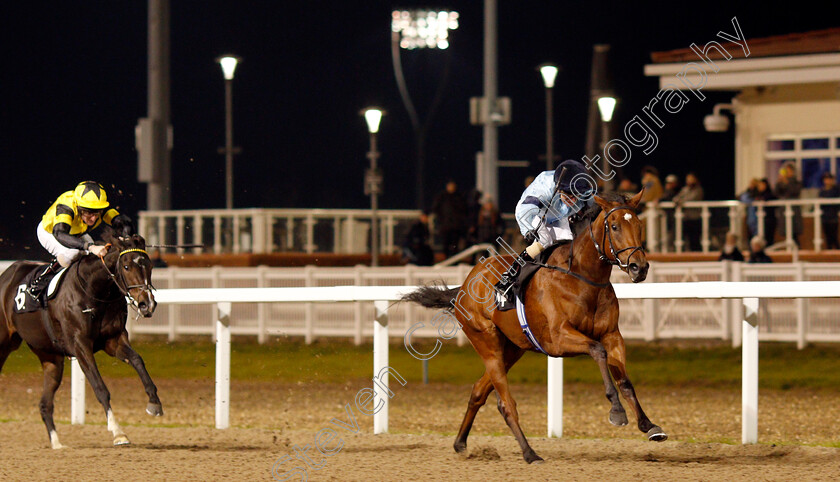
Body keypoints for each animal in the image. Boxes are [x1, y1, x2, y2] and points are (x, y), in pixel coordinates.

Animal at [0, 231, 160, 448]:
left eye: (149, 266)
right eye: (126, 266)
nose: (147, 304)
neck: (93, 289)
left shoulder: (113, 339)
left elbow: (137, 360)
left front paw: (154, 403)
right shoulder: (80, 344)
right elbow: (100, 387)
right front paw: (118, 432)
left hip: (50, 356)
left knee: (45, 404)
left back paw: (57, 443)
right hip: (4, 344)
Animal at [404, 189, 668, 464]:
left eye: (639, 225)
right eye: (614, 226)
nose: (640, 267)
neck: (583, 278)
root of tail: (465, 285)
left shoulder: (612, 334)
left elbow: (624, 379)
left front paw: (649, 425)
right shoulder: (558, 340)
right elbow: (598, 351)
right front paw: (616, 410)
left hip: (512, 349)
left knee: (479, 390)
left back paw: (460, 443)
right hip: (486, 341)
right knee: (505, 403)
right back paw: (530, 453)